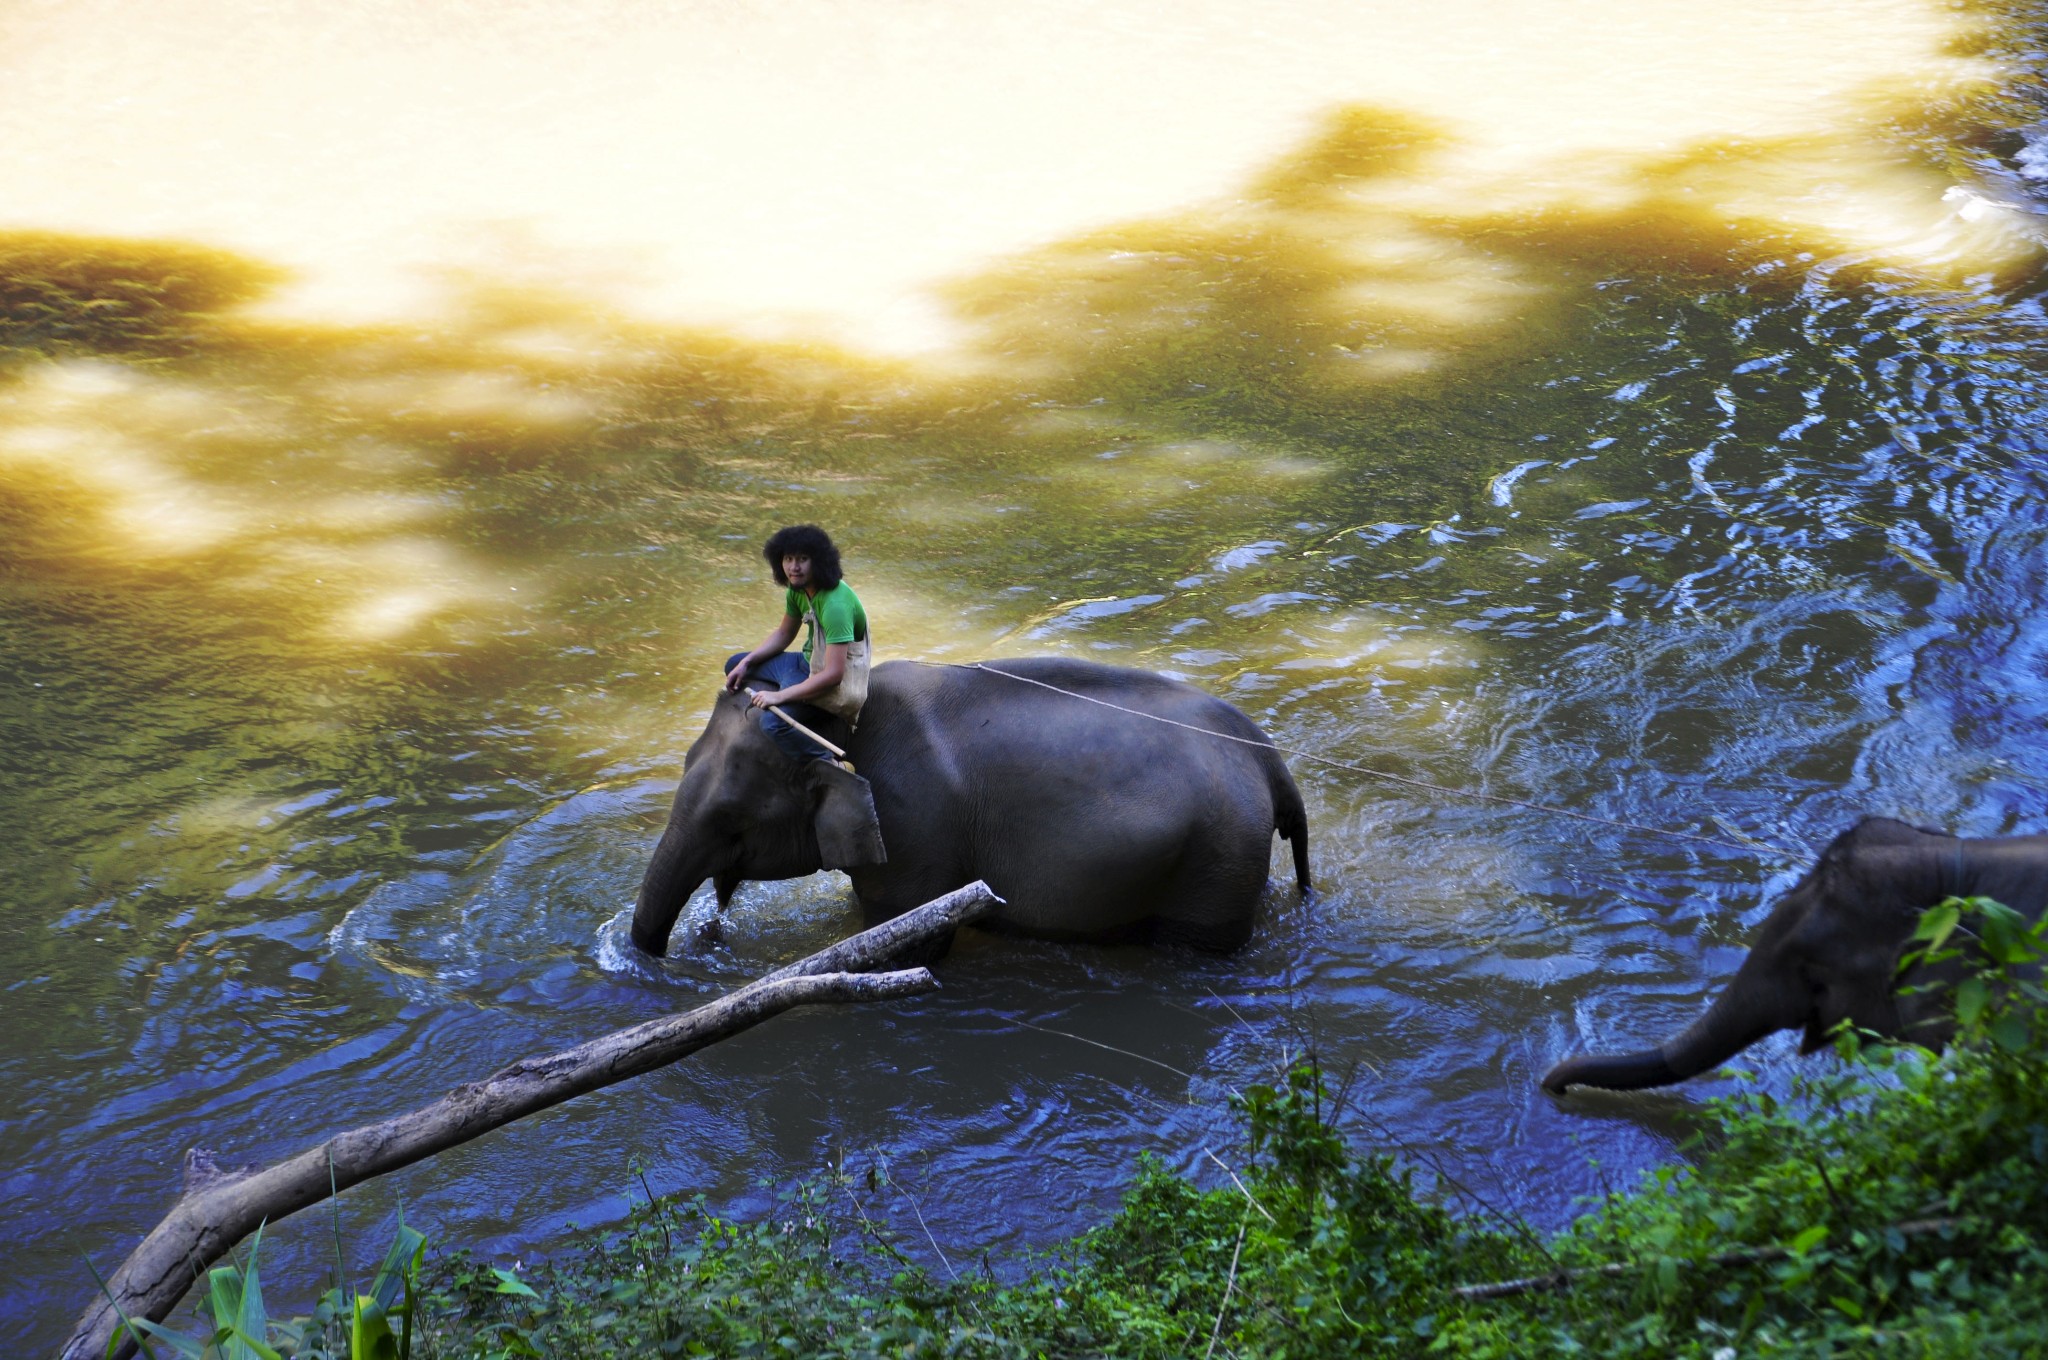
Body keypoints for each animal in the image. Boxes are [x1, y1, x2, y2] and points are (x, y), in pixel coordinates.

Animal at [626, 659, 1310, 954]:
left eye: (730, 821)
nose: (706, 934)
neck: (838, 726)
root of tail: (1271, 759)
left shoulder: (911, 831)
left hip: (1218, 864)